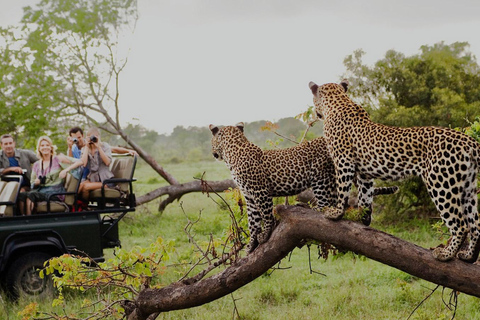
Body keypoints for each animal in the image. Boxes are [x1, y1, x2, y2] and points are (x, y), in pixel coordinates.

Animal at [210, 122, 398, 252]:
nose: (213, 153)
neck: (232, 153)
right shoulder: (249, 196)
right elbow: (253, 221)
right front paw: (250, 245)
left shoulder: (260, 191)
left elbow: (266, 215)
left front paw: (265, 234)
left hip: (321, 177)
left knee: (326, 204)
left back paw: (310, 208)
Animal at [308, 80, 480, 262]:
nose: (316, 113)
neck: (338, 102)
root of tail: (469, 141)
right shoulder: (365, 173)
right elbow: (365, 195)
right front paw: (363, 218)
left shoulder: (343, 161)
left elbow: (342, 189)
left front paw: (336, 213)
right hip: (467, 186)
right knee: (475, 223)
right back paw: (469, 256)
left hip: (441, 183)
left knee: (461, 224)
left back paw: (446, 254)